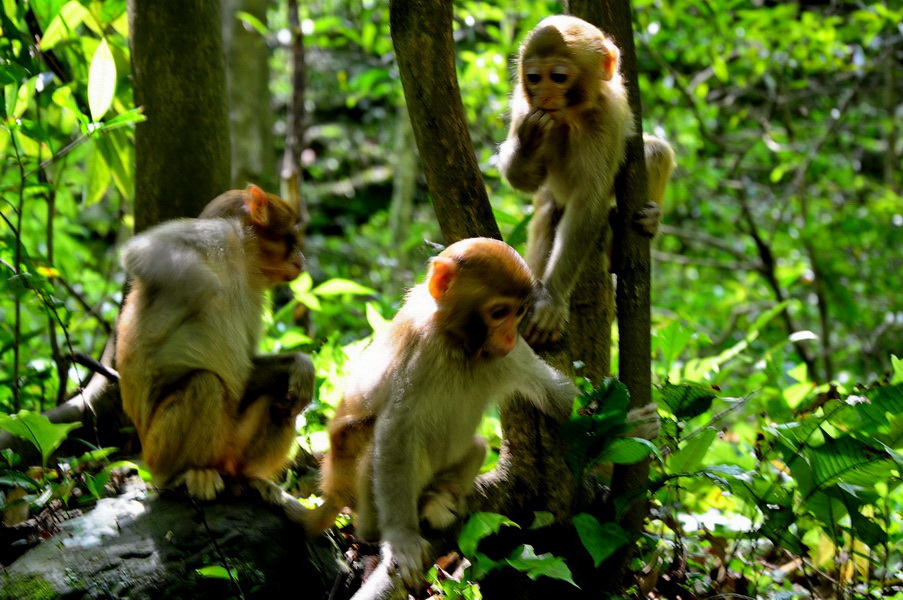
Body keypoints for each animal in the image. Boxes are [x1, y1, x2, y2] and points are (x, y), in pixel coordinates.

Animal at [116, 182, 316, 506]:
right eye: (291, 238)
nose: (302, 261)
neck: (245, 259)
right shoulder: (215, 235)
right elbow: (140, 253)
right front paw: (206, 288)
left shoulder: (257, 293)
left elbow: (249, 369)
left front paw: (301, 364)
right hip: (158, 449)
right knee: (204, 384)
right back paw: (182, 475)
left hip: (232, 445)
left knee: (281, 399)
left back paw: (249, 477)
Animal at [308, 238, 580, 584]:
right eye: (499, 312)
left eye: (519, 312)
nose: (508, 335)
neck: (459, 345)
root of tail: (332, 487)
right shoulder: (419, 351)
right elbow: (395, 432)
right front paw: (401, 537)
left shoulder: (509, 352)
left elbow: (554, 393)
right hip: (347, 470)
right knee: (378, 445)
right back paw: (382, 525)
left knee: (476, 447)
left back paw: (435, 498)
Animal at [502, 15, 680, 346]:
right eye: (534, 77)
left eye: (558, 77)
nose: (544, 96)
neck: (570, 116)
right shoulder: (523, 107)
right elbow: (521, 180)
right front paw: (531, 140)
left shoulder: (606, 117)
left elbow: (589, 200)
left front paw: (552, 299)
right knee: (548, 210)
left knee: (655, 152)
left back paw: (645, 225)